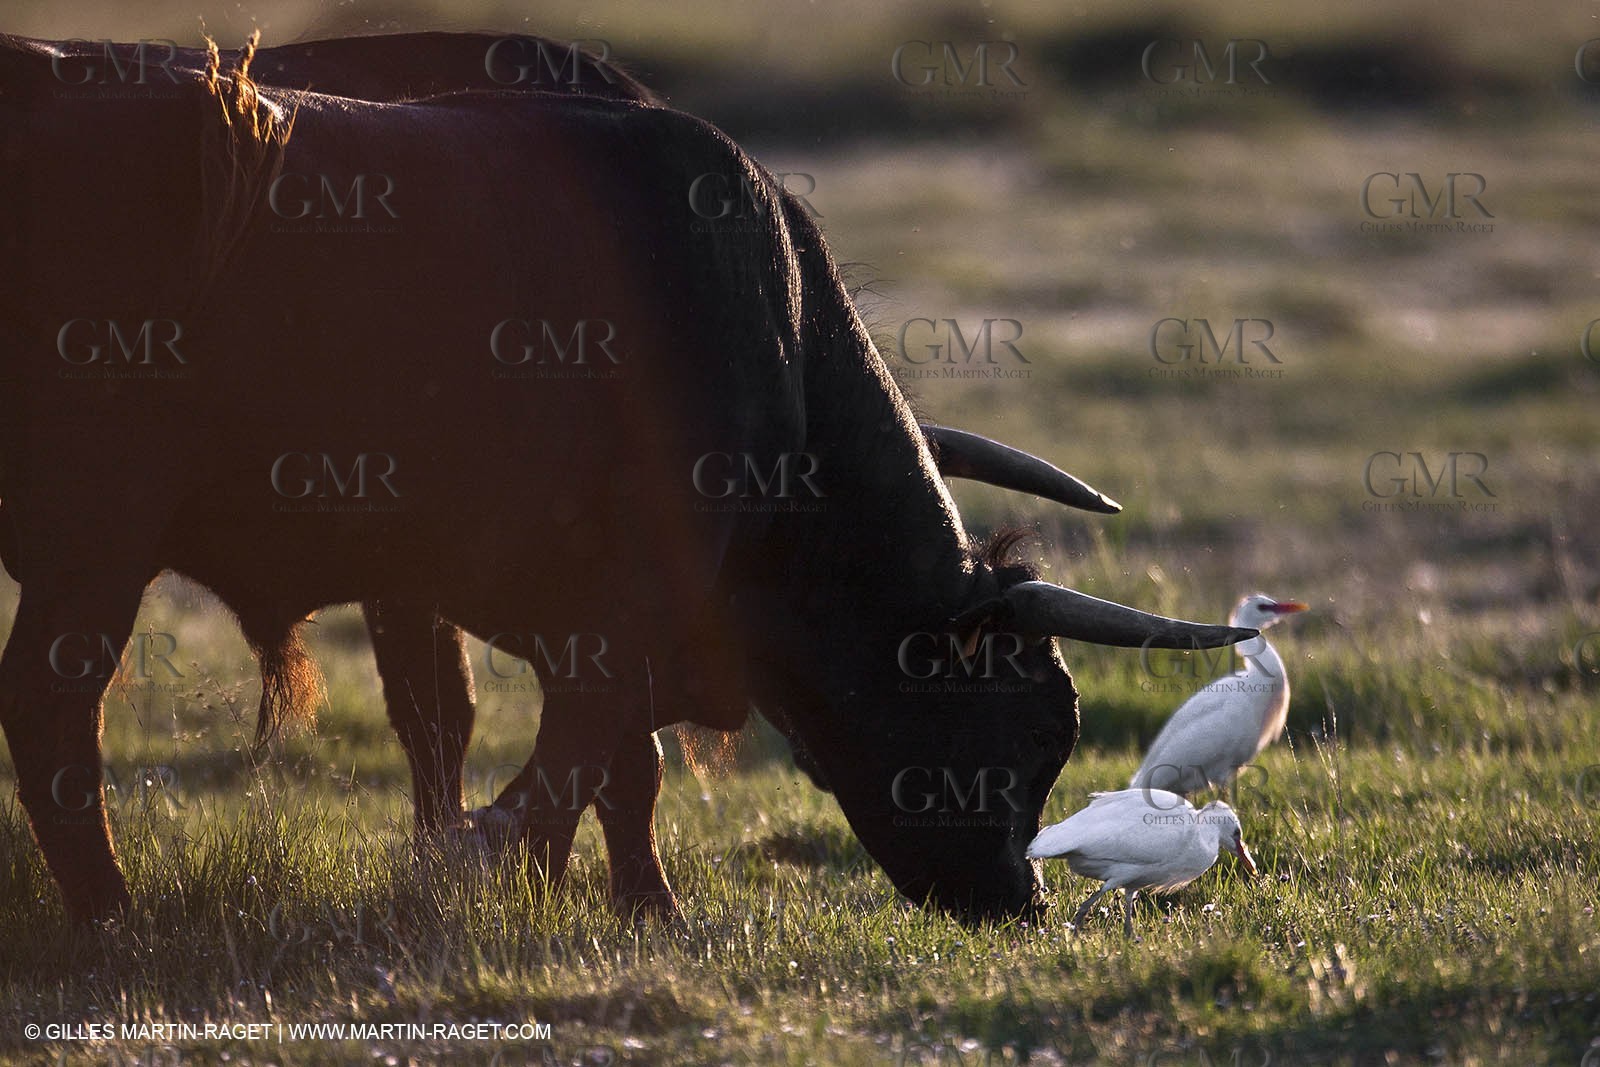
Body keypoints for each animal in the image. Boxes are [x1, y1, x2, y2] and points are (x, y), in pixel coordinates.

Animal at [0, 35, 1256, 925]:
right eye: (1030, 720)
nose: (1019, 899)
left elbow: (597, 759)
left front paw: (621, 899)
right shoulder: (626, 596)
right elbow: (571, 756)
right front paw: (502, 881)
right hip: (97, 544)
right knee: (53, 714)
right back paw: (109, 915)